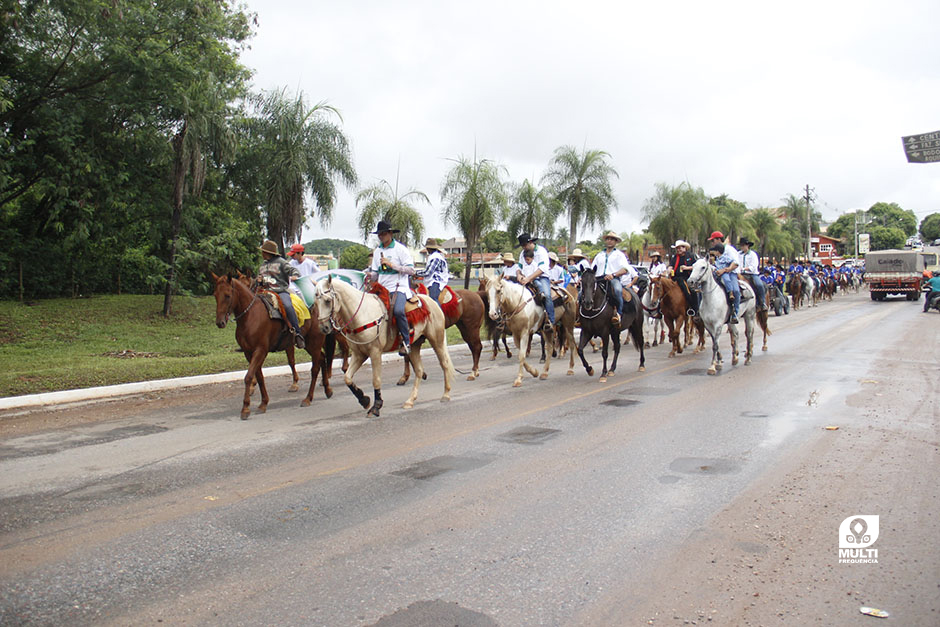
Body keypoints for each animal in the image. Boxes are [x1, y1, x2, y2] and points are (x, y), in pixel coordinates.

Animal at [212, 272, 334, 420]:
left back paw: (308, 398)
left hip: (314, 343)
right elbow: (258, 376)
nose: (220, 322)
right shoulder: (248, 352)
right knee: (322, 358)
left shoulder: (260, 350)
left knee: (315, 368)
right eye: (215, 295)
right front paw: (263, 403)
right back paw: (327, 390)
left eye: (227, 295)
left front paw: (245, 408)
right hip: (309, 345)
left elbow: (248, 376)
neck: (250, 315)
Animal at [314, 276, 454, 418]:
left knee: (444, 364)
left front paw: (376, 406)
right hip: (415, 345)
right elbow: (347, 378)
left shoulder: (375, 352)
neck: (362, 314)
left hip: (436, 340)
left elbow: (376, 379)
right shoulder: (359, 354)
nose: (324, 328)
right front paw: (364, 400)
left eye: (327, 301)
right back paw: (410, 401)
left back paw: (446, 394)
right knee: (419, 370)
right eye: (315, 302)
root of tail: (432, 302)